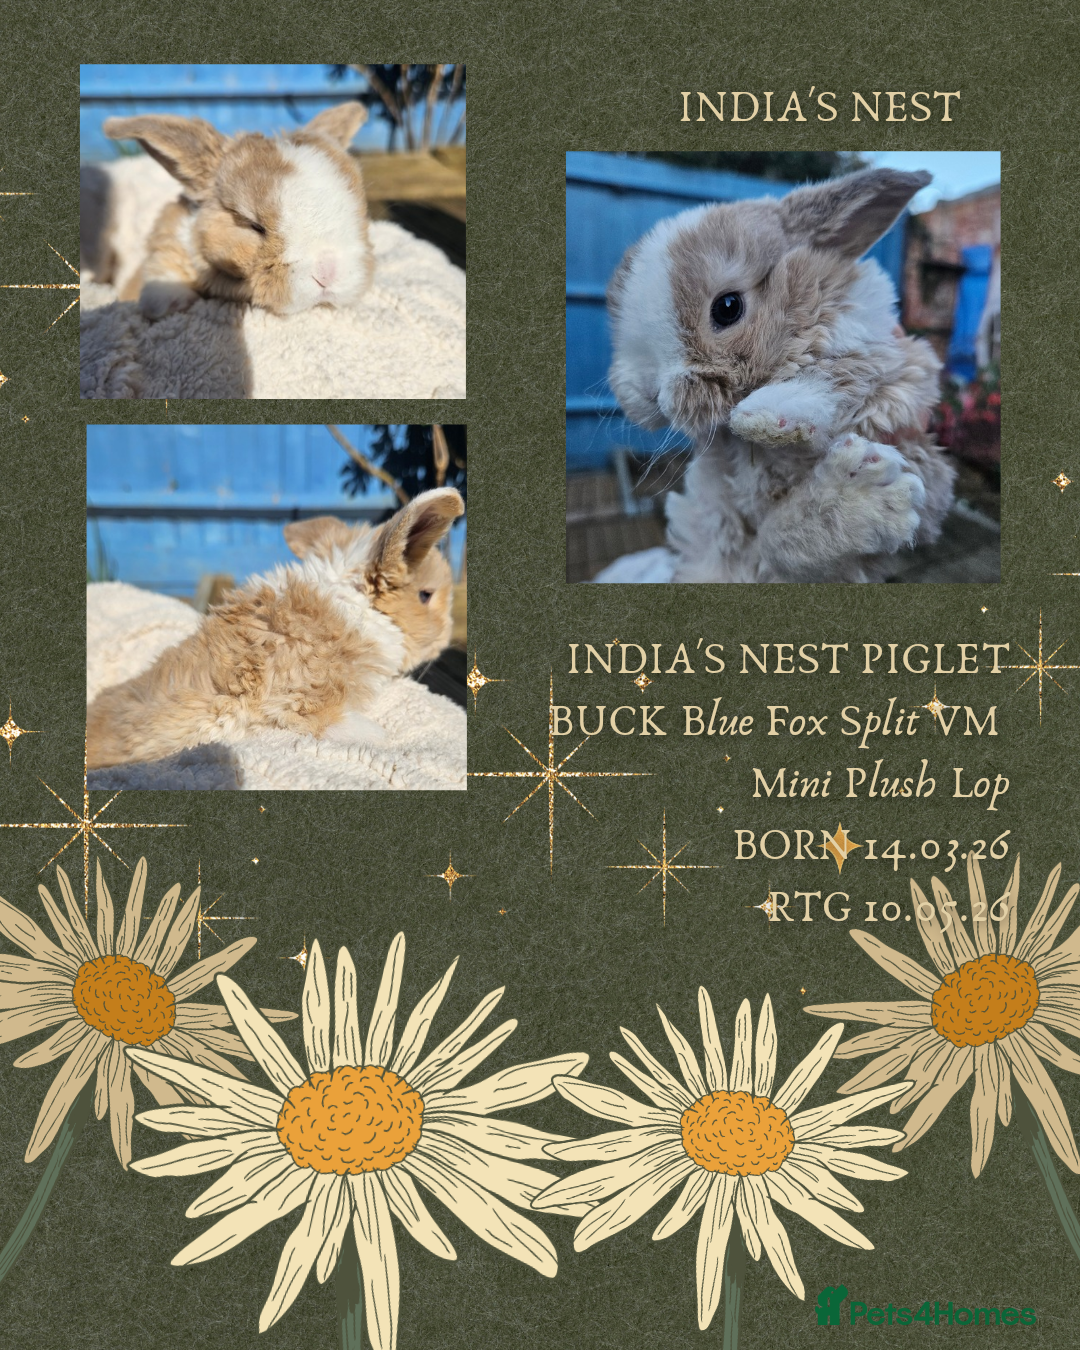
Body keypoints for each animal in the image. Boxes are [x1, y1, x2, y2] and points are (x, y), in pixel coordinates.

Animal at [85, 488, 464, 769]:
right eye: (426, 595)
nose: (446, 639)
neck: (355, 601)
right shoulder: (303, 702)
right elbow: (343, 727)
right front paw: (385, 738)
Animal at [606, 168, 957, 582]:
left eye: (728, 307)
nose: (647, 393)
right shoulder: (715, 525)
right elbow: (769, 544)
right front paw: (868, 494)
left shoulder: (905, 390)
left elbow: (846, 369)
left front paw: (769, 417)